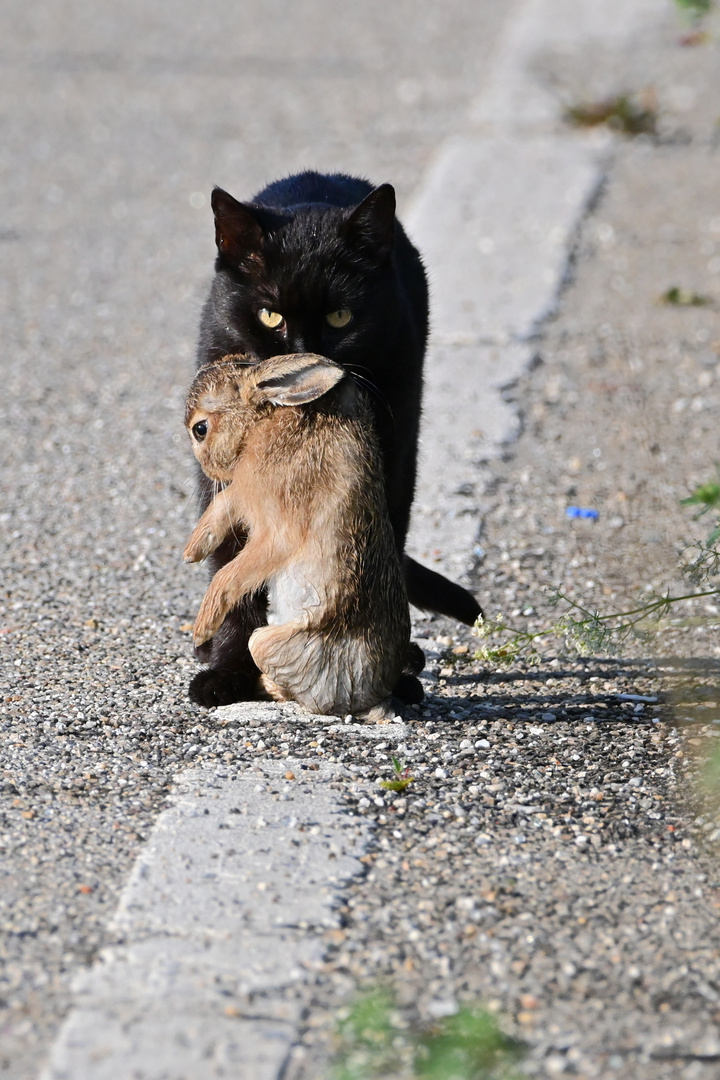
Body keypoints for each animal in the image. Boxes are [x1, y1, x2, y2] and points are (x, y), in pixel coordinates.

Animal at [183, 354, 418, 721]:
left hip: (267, 642)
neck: (261, 421)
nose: (208, 469)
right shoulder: (246, 492)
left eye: (200, 429)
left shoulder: (277, 533)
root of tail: (372, 699)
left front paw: (201, 628)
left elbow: (230, 573)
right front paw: (193, 549)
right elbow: (226, 501)